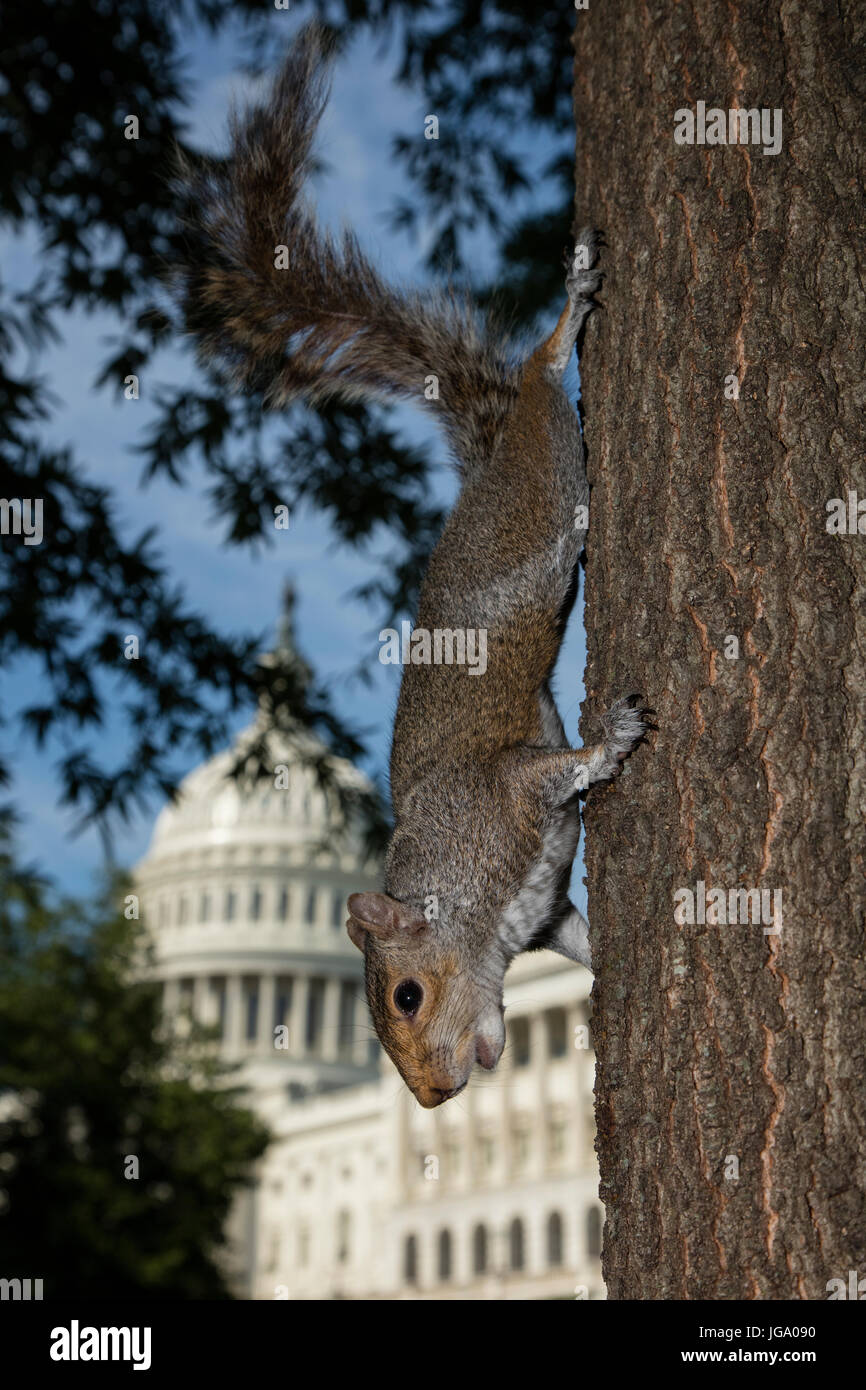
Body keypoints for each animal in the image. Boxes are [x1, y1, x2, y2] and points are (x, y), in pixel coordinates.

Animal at [174, 23, 646, 1108]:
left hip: (542, 468)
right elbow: (578, 937)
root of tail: (486, 461)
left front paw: (608, 742)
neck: (470, 909)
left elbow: (552, 768)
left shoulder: (502, 798)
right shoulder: (545, 912)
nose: (431, 1097)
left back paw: (569, 308)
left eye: (405, 996)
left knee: (538, 372)